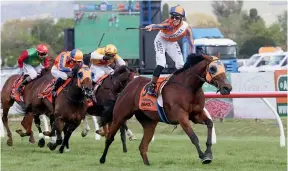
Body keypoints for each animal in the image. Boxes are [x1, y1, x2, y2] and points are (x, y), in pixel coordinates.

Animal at [98, 53, 232, 166]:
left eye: (224, 68)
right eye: (213, 69)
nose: (227, 87)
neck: (188, 87)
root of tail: (127, 86)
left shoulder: (196, 114)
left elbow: (210, 123)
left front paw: (209, 152)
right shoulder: (181, 116)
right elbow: (194, 137)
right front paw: (203, 156)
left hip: (149, 123)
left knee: (143, 146)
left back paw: (147, 164)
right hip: (120, 116)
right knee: (110, 138)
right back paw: (102, 159)